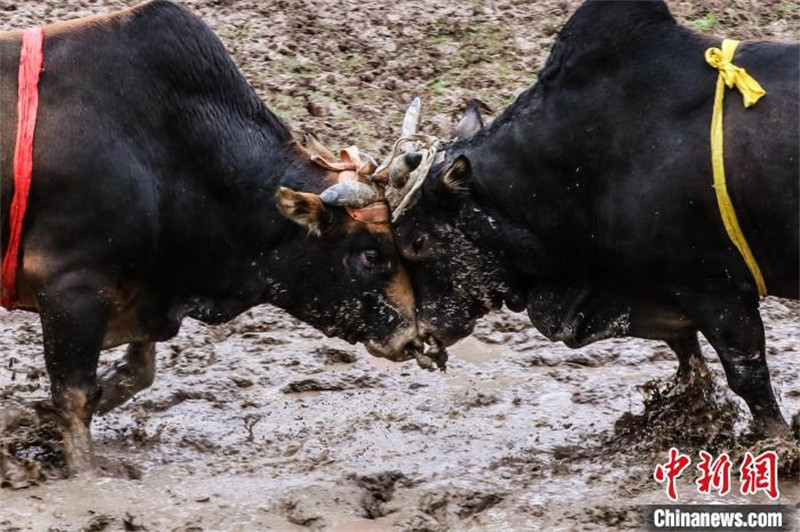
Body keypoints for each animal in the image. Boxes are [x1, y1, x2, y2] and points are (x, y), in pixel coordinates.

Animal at [0, 0, 422, 474]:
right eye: (370, 255)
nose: (412, 335)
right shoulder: (71, 286)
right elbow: (74, 399)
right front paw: (85, 477)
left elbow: (136, 372)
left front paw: (25, 416)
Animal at [396, 1, 800, 436]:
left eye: (416, 241)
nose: (420, 336)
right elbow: (685, 350)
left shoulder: (715, 287)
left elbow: (748, 375)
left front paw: (777, 440)